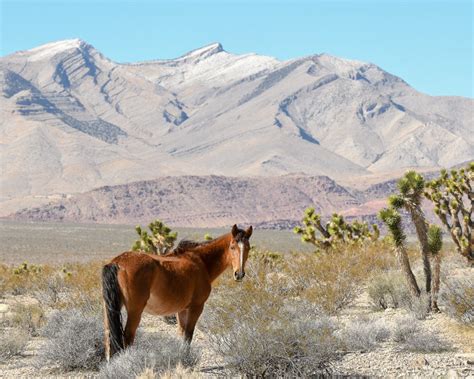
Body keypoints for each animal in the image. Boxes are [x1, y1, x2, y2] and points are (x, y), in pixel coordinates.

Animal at [102, 226, 254, 362]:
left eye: (248, 247)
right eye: (232, 247)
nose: (239, 274)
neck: (201, 262)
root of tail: (117, 262)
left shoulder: (181, 310)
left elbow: (181, 334)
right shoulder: (196, 308)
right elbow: (188, 335)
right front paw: (185, 360)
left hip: (108, 310)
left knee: (109, 337)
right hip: (135, 311)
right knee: (128, 337)